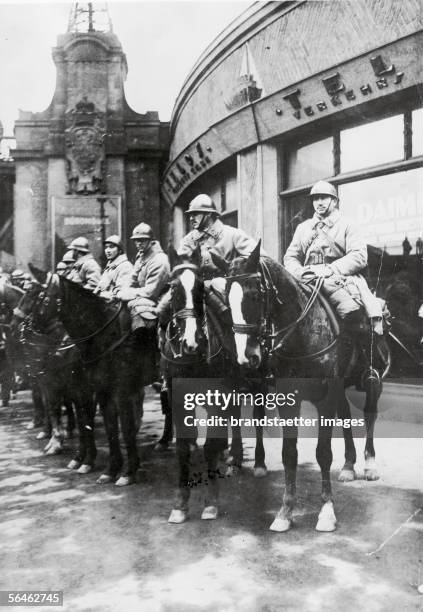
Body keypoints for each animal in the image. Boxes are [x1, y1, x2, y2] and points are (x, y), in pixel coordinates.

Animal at [27, 266, 158, 486]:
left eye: (39, 296)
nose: (25, 329)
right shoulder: (98, 391)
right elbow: (105, 427)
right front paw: (106, 468)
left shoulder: (116, 391)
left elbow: (123, 429)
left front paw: (128, 472)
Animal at [161, 246, 264, 524]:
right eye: (173, 288)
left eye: (200, 288)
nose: (191, 341)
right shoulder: (177, 400)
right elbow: (183, 447)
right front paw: (180, 504)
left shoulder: (216, 396)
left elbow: (208, 446)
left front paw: (211, 503)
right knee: (235, 417)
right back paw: (233, 457)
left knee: (256, 419)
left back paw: (257, 463)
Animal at [212, 241, 390, 532]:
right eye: (227, 298)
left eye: (255, 296)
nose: (247, 357)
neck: (303, 331)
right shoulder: (289, 400)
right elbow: (289, 454)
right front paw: (285, 512)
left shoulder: (325, 399)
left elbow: (323, 453)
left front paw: (326, 512)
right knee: (346, 415)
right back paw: (348, 465)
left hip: (373, 382)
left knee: (370, 416)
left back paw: (369, 464)